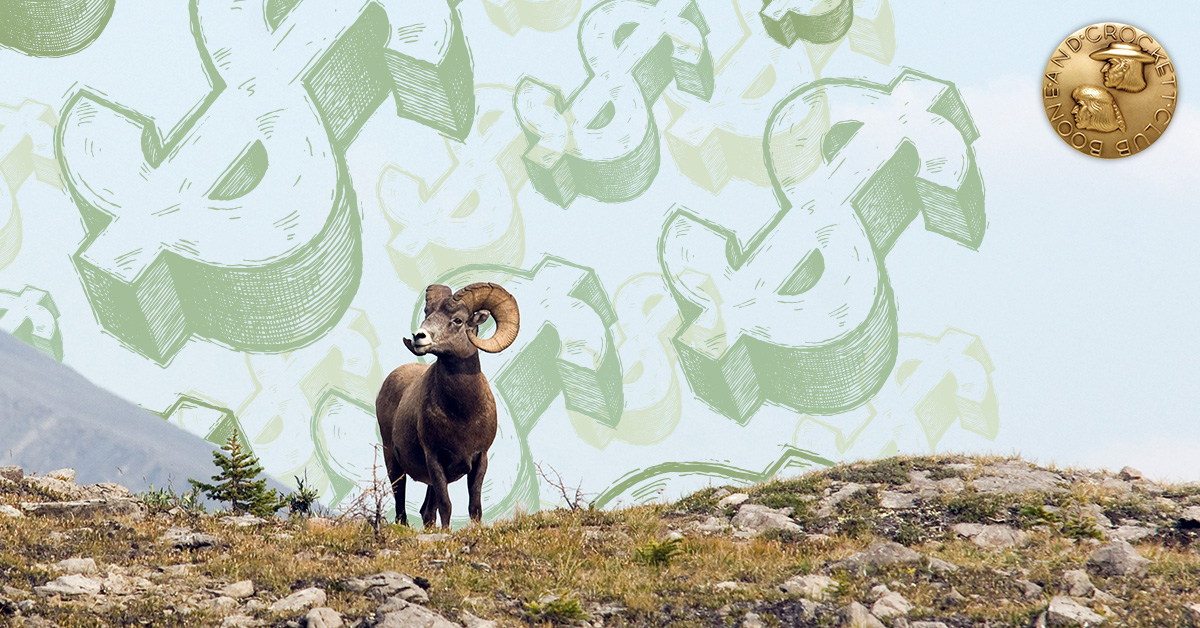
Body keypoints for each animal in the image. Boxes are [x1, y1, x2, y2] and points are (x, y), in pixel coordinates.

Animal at [374, 282, 519, 529]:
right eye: (427, 314)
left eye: (458, 320)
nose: (419, 337)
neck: (462, 414)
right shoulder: (435, 459)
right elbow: (446, 506)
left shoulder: (479, 459)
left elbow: (474, 507)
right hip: (393, 464)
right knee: (401, 511)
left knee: (426, 512)